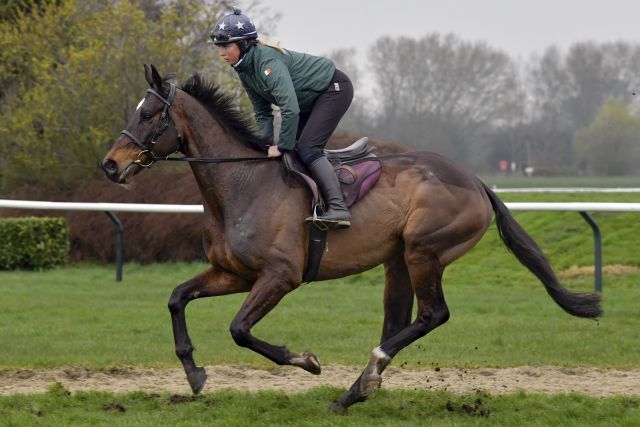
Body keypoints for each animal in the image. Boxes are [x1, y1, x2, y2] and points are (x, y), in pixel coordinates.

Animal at [100, 64, 600, 412]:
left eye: (148, 114)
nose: (109, 164)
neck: (242, 184)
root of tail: (476, 181)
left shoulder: (280, 276)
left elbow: (240, 329)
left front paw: (304, 360)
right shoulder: (233, 273)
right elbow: (177, 298)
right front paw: (193, 372)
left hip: (424, 251)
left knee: (432, 314)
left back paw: (366, 375)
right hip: (397, 260)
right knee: (399, 319)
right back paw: (357, 389)